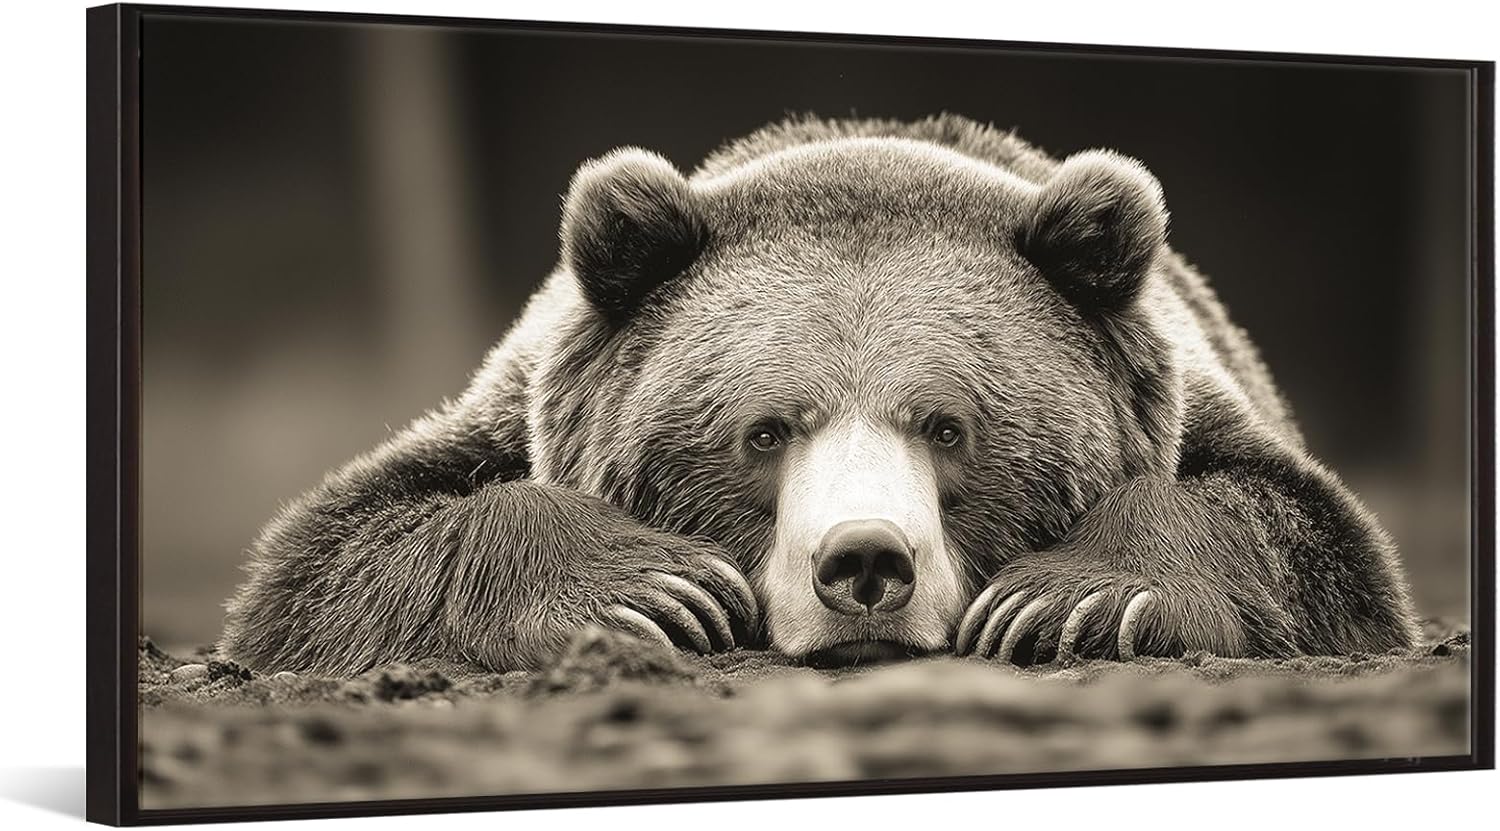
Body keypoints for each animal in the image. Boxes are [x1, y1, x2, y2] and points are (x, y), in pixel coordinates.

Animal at [219, 113, 1420, 674]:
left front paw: (1073, 598)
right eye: (762, 432)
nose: (865, 561)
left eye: (948, 425)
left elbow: (1304, 529)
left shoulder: (1198, 407)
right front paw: (655, 591)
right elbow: (336, 554)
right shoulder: (507, 412)